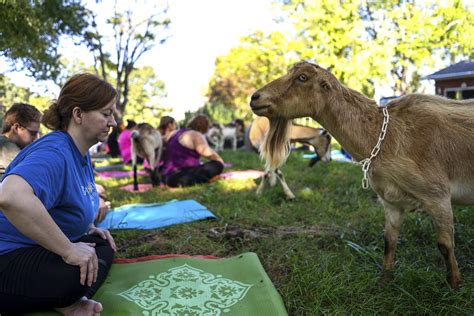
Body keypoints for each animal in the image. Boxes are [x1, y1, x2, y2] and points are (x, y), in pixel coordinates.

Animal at [250, 60, 474, 288]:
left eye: (302, 77)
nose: (255, 98)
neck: (389, 135)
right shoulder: (391, 201)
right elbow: (389, 241)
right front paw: (384, 280)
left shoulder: (438, 196)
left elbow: (445, 244)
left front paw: (454, 283)